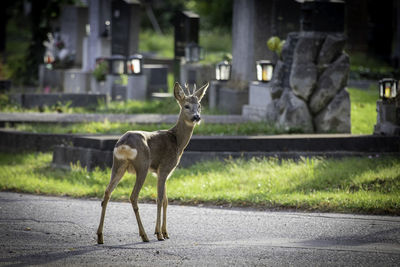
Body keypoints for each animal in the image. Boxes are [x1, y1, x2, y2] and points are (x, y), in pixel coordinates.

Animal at [97, 81, 209, 245]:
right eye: (186, 106)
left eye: (199, 105)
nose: (197, 117)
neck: (177, 141)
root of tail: (124, 144)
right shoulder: (164, 167)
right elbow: (159, 199)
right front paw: (159, 234)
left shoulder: (162, 172)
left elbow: (166, 200)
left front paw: (166, 232)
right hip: (142, 165)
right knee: (133, 196)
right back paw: (144, 235)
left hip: (117, 165)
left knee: (106, 193)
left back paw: (100, 236)